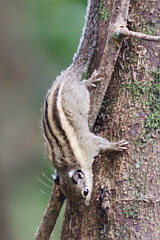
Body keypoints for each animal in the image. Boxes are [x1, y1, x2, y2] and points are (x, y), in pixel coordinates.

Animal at [42, 0, 127, 206]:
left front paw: (115, 146)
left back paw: (89, 81)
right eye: (72, 198)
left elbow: (102, 143)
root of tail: (65, 77)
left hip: (80, 95)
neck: (68, 166)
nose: (86, 204)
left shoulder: (90, 143)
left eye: (85, 191)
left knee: (82, 86)